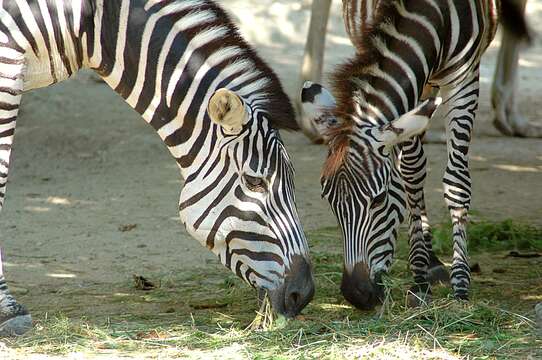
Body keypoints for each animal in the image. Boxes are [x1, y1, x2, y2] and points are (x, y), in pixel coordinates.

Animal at [300, 0, 528, 310]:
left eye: (379, 200)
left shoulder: (464, 78)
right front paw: (420, 278)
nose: (355, 294)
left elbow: (456, 182)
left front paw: (460, 285)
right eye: (328, 200)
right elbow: (411, 172)